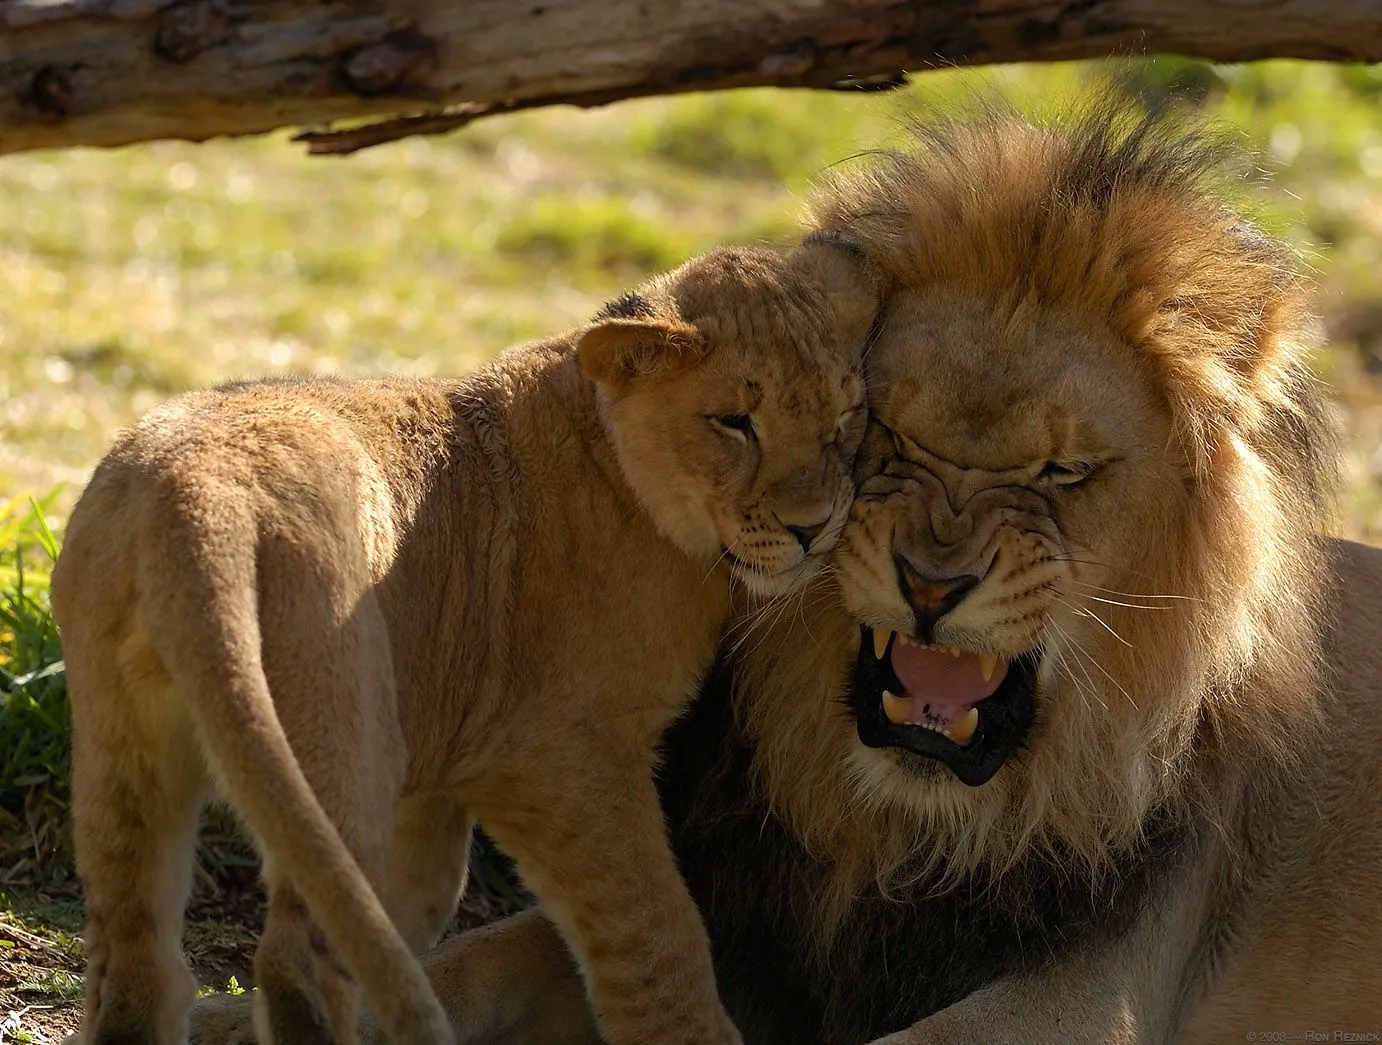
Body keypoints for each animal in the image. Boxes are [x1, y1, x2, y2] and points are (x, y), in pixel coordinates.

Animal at [192, 96, 1382, 1039]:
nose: (931, 583)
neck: (896, 830)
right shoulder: (735, 908)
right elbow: (472, 959)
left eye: (1062, 470)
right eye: (890, 436)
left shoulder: (1091, 995)